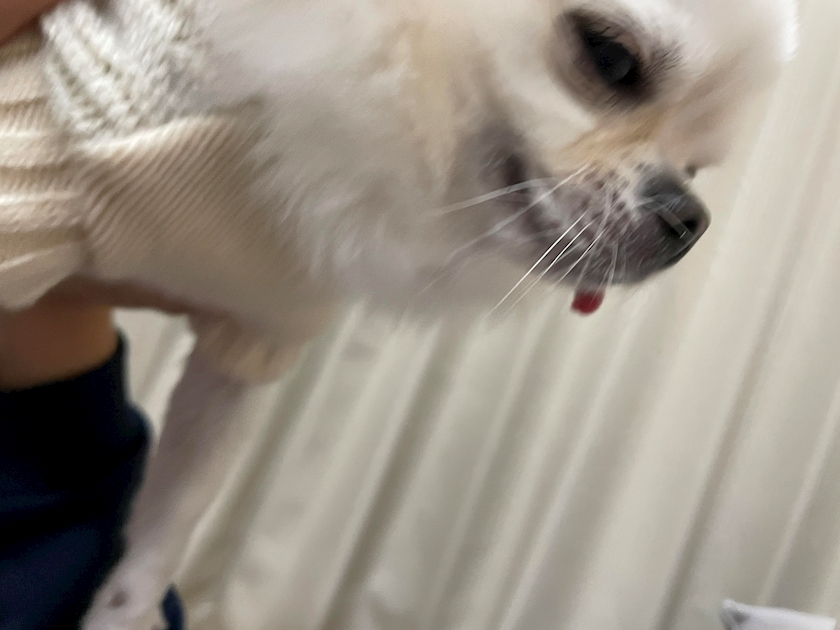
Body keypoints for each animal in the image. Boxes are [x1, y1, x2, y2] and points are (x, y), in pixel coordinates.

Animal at [66, 0, 797, 626]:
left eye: (697, 169)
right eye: (612, 57)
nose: (690, 219)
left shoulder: (249, 343)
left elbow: (168, 524)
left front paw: (121, 616)